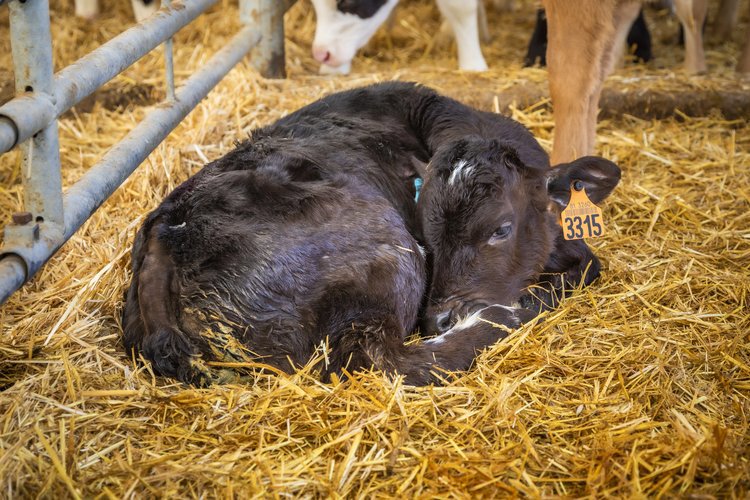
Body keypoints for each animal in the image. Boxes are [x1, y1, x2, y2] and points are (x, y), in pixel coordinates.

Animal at [123, 82, 624, 386]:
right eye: (428, 234)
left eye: (501, 229)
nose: (438, 319)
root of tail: (167, 232)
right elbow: (588, 261)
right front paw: (538, 294)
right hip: (389, 257)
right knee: (387, 360)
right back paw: (511, 313)